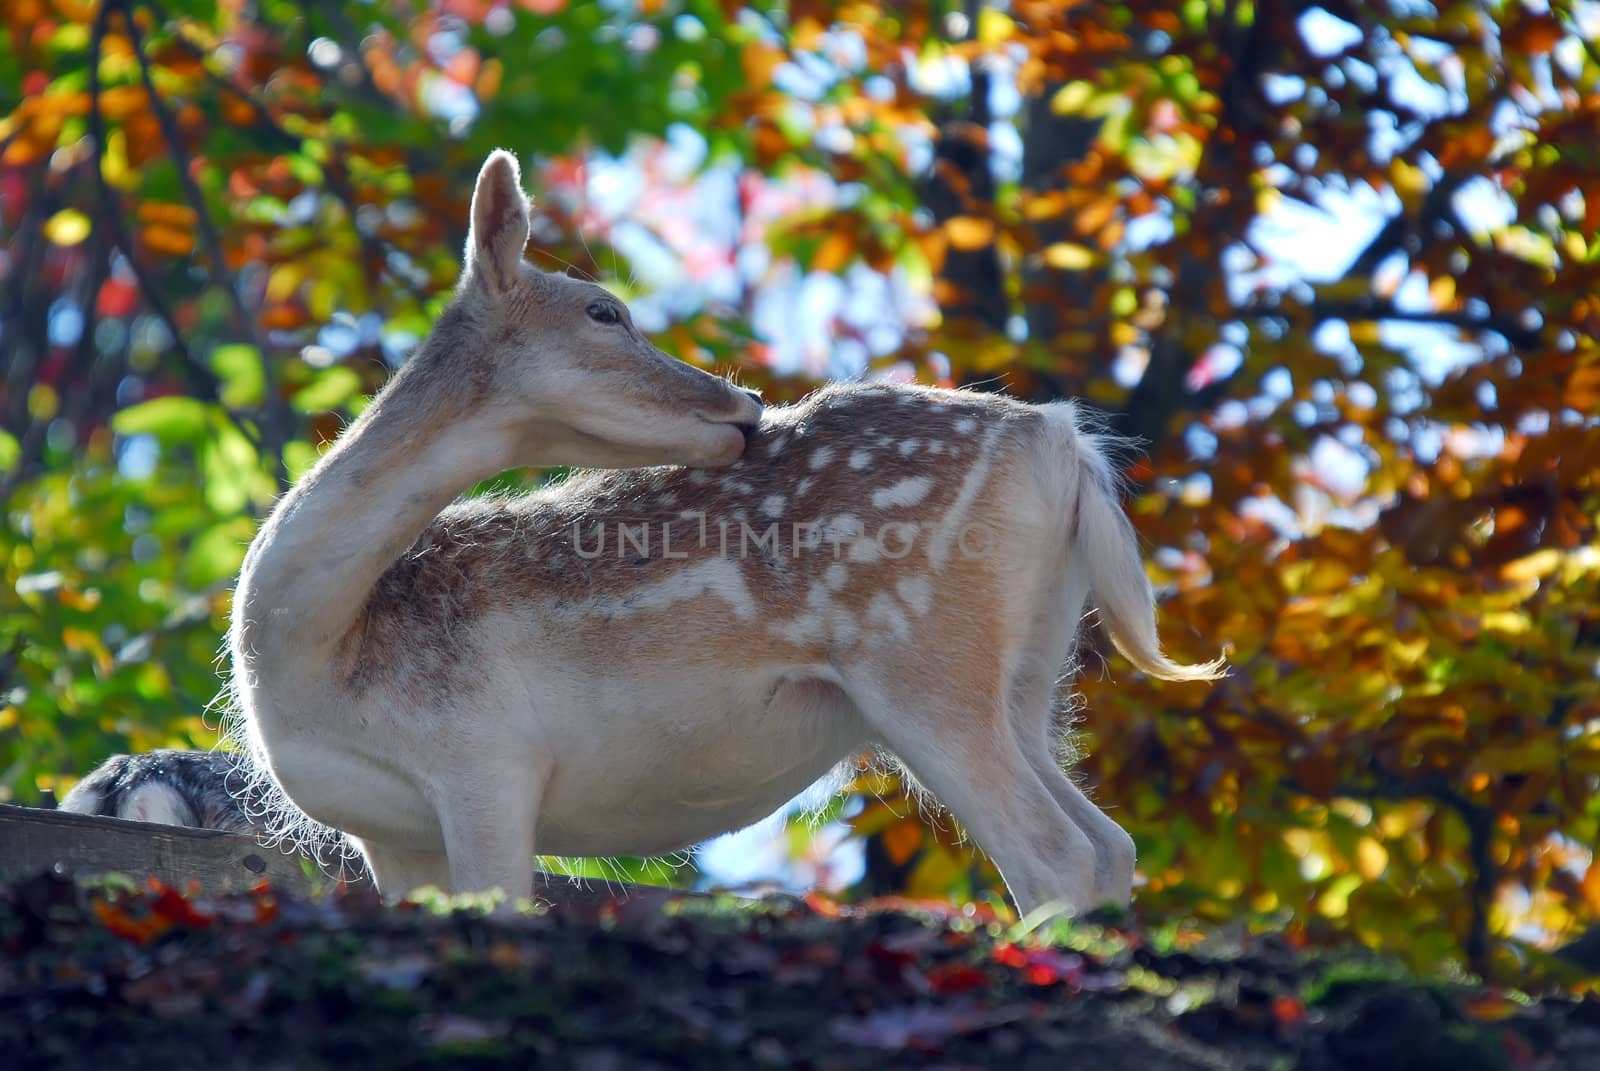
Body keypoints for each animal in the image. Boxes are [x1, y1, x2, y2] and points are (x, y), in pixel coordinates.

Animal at [228, 150, 1222, 915]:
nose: (743, 403)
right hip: (1027, 675)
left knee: (1055, 855)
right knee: (1109, 843)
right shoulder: (389, 833)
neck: (319, 653)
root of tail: (1064, 443)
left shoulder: (485, 761)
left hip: (919, 655)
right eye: (605, 311)